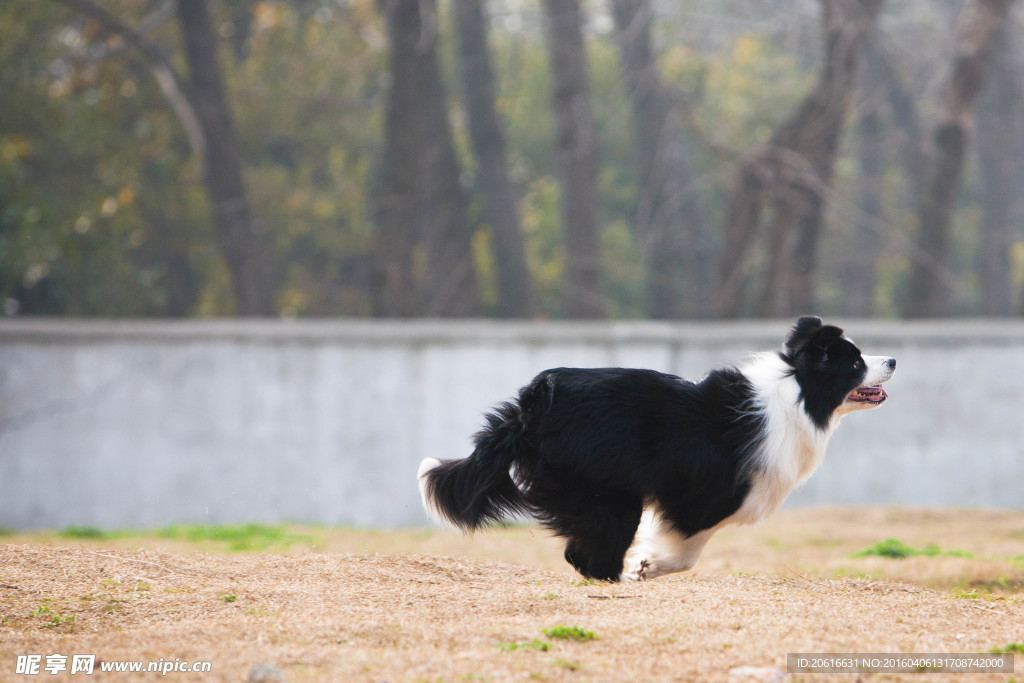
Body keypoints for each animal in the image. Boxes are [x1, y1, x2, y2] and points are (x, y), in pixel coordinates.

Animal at [415, 319, 897, 581]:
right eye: (855, 362)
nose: (893, 360)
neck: (797, 392)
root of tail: (534, 405)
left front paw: (646, 565)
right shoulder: (704, 497)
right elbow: (688, 549)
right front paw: (648, 565)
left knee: (580, 551)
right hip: (607, 489)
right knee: (592, 550)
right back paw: (619, 576)